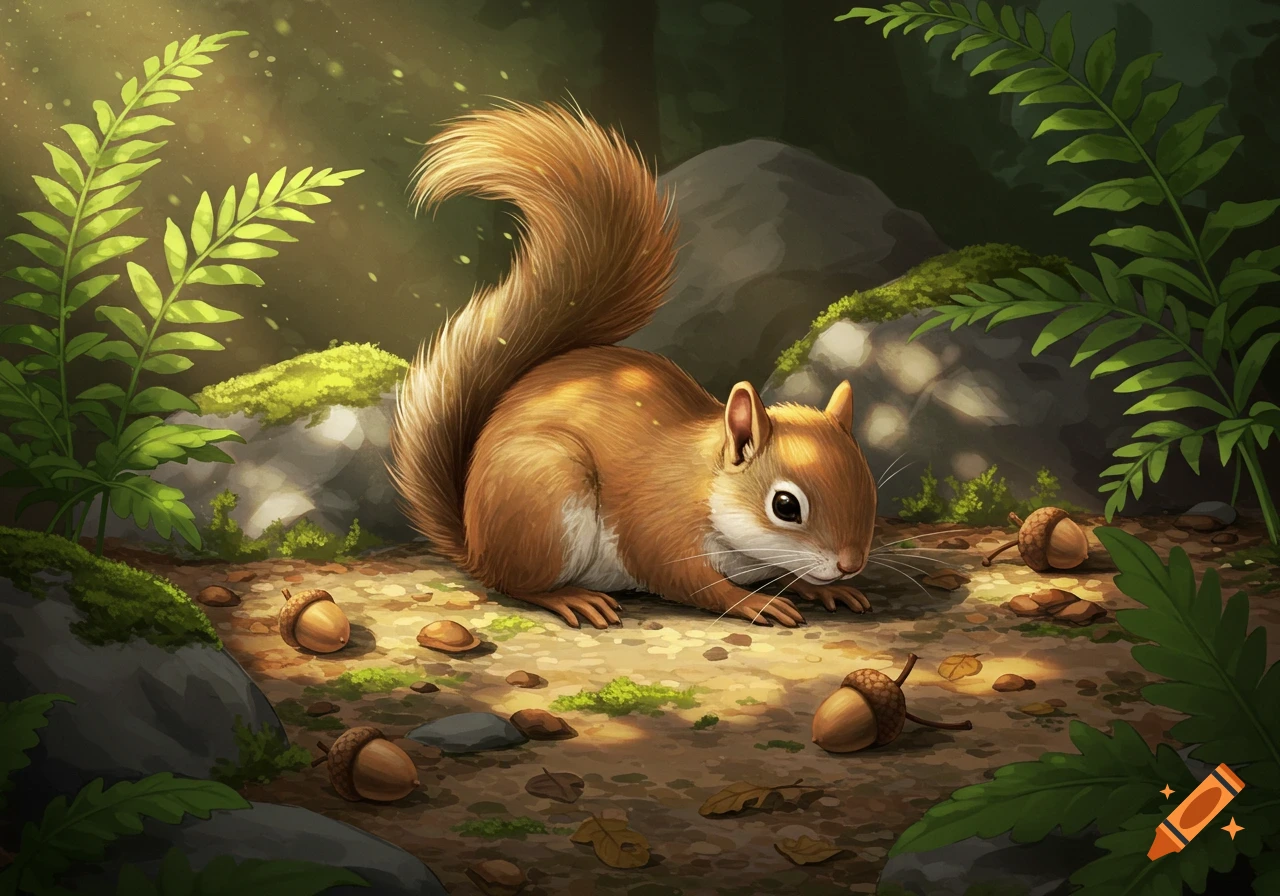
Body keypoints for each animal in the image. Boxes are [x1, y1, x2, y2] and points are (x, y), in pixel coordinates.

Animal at [389, 102, 877, 630]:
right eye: (785, 506)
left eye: (867, 483)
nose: (851, 564)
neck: (705, 482)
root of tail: (474, 544)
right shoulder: (659, 525)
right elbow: (685, 579)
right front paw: (755, 602)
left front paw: (821, 588)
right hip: (544, 494)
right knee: (515, 583)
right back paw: (571, 597)